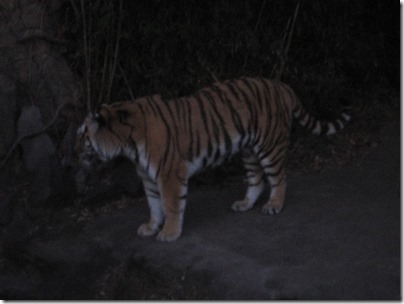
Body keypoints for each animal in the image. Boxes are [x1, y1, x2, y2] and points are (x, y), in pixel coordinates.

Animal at [76, 78, 350, 242]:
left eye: (82, 134)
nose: (72, 148)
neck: (127, 144)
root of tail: (282, 86)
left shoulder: (169, 174)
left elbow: (171, 205)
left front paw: (169, 233)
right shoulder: (149, 179)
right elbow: (154, 205)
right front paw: (151, 227)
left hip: (269, 146)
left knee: (279, 177)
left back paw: (273, 206)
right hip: (249, 150)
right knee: (257, 179)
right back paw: (244, 204)